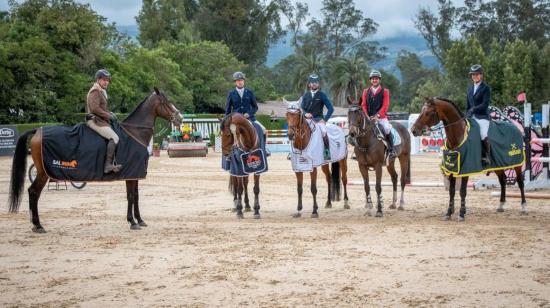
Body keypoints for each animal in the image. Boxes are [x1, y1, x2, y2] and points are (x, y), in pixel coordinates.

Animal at [7, 88, 183, 232]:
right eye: (166, 102)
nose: (180, 118)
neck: (134, 133)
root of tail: (38, 130)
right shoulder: (131, 174)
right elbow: (131, 196)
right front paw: (132, 222)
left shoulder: (135, 174)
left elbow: (136, 196)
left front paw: (140, 220)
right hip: (44, 173)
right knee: (33, 192)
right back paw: (38, 225)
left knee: (32, 192)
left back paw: (36, 225)